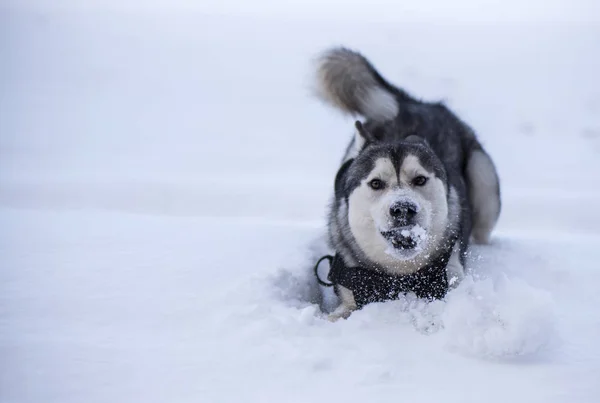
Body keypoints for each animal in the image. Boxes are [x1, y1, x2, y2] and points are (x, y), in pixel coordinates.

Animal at [312, 47, 500, 320]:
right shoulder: (350, 287)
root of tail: (414, 104)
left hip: (484, 178)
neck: (399, 278)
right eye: (376, 183)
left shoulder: (449, 275)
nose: (403, 209)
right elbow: (339, 312)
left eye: (420, 179)